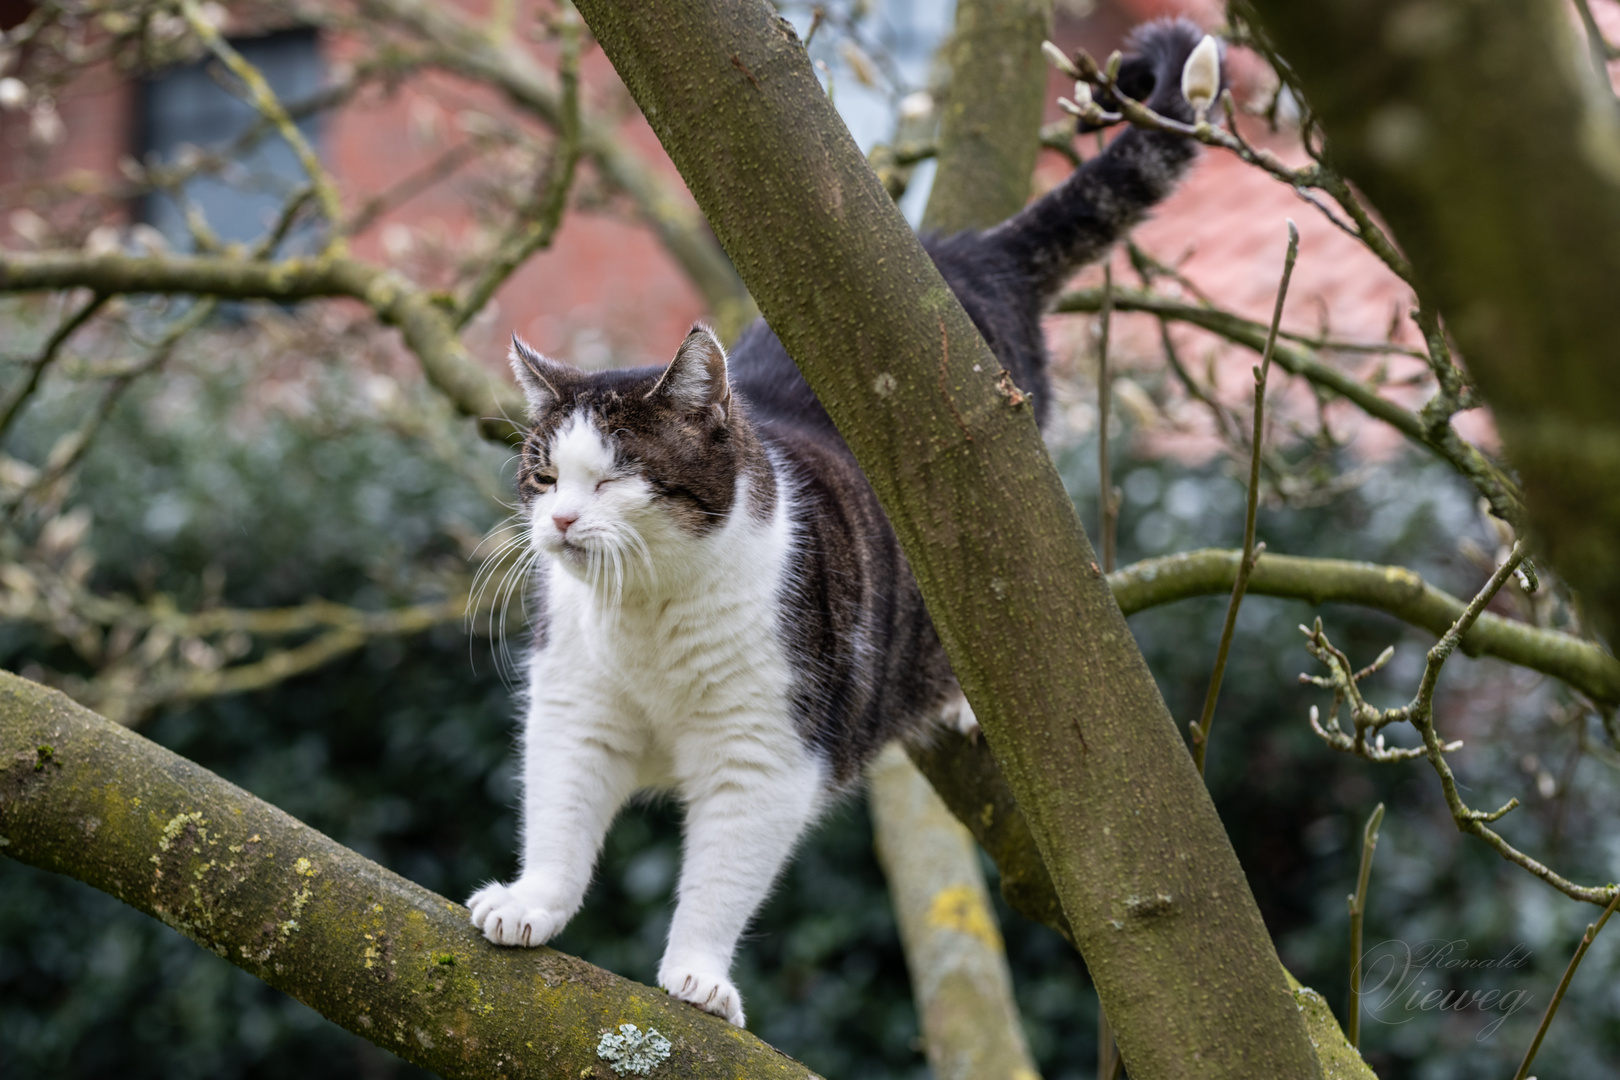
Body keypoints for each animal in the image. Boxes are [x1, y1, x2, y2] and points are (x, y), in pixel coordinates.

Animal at [463, 16, 1211, 1029]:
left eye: (617, 477)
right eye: (542, 477)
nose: (563, 522)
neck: (648, 611)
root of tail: (960, 253)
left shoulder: (769, 744)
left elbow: (723, 875)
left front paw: (697, 976)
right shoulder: (573, 706)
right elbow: (558, 814)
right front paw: (530, 903)